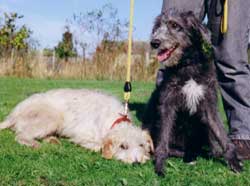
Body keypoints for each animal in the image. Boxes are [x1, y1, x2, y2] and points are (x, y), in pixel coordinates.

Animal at [0, 88, 153, 163]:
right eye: (123, 146)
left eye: (141, 145)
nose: (137, 162)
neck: (116, 119)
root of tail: (14, 113)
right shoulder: (83, 134)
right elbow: (98, 145)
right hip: (53, 118)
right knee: (21, 135)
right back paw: (34, 144)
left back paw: (52, 140)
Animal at [142, 9, 243, 176]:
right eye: (157, 27)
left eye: (175, 25)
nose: (154, 42)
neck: (188, 65)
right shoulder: (167, 104)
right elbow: (163, 137)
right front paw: (160, 164)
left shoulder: (209, 103)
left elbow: (220, 132)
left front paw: (232, 160)